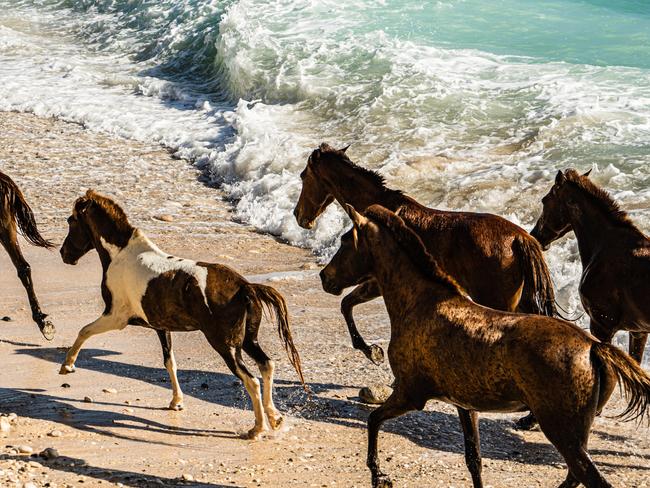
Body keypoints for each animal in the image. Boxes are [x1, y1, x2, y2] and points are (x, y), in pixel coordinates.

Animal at [58, 191, 306, 438]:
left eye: (71, 221)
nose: (64, 254)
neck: (121, 254)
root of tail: (245, 287)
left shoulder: (116, 317)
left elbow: (84, 331)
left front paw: (67, 366)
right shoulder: (161, 326)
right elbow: (170, 362)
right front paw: (176, 402)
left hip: (225, 345)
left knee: (251, 379)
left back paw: (257, 428)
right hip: (247, 340)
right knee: (267, 365)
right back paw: (275, 418)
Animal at [294, 143, 552, 364]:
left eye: (303, 176)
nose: (299, 216)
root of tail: (520, 238)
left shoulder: (375, 282)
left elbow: (346, 304)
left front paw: (371, 352)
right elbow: (346, 304)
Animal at [320, 202, 648, 488]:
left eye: (346, 241)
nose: (325, 277)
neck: (419, 301)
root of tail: (594, 347)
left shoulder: (410, 394)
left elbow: (373, 420)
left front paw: (379, 475)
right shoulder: (465, 405)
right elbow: (473, 460)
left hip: (562, 431)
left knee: (587, 477)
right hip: (576, 434)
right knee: (574, 476)